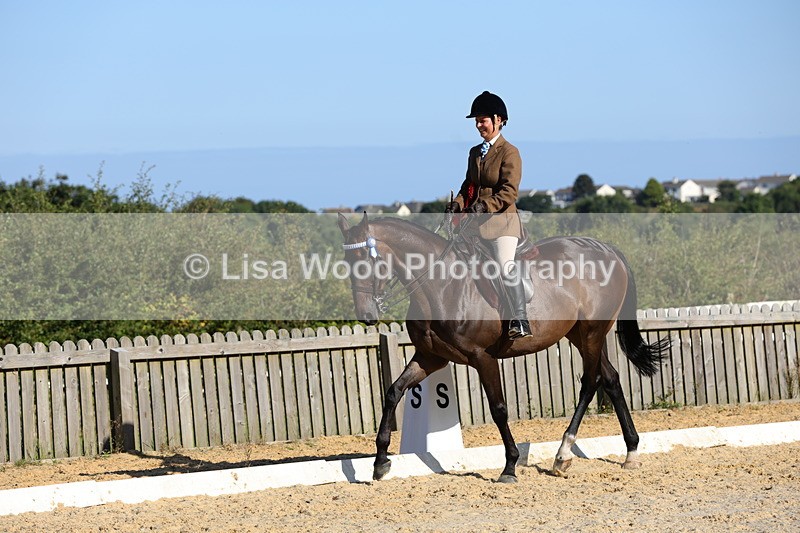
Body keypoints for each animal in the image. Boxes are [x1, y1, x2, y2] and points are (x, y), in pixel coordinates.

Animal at [337, 212, 670, 483]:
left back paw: (562, 454)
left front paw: (509, 467)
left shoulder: (482, 357)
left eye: (369, 260)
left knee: (591, 381)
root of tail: (607, 249)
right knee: (610, 378)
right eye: (348, 264)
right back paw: (631, 452)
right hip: (581, 335)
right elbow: (393, 391)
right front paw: (380, 462)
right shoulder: (430, 357)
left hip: (592, 332)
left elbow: (498, 409)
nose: (366, 315)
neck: (441, 285)